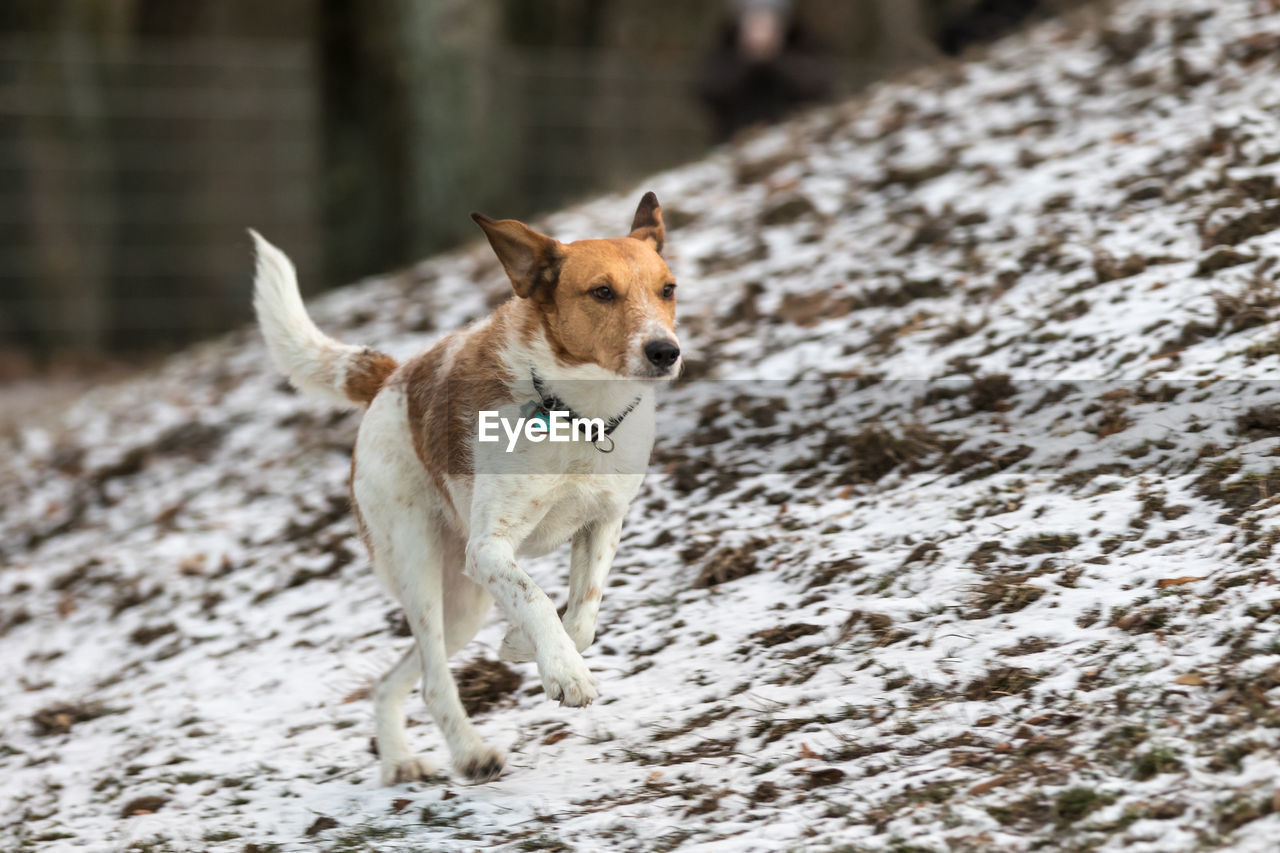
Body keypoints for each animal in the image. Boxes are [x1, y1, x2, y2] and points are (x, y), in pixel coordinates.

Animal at [243, 194, 675, 783]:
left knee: (393, 679)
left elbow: (582, 614)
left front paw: (524, 646)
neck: (575, 414)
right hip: (422, 567)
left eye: (668, 289)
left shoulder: (603, 523)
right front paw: (563, 671)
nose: (665, 351)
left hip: (464, 606)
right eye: (602, 292)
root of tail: (392, 377)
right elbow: (537, 598)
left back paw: (399, 760)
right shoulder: (489, 549)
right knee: (432, 681)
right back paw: (469, 753)